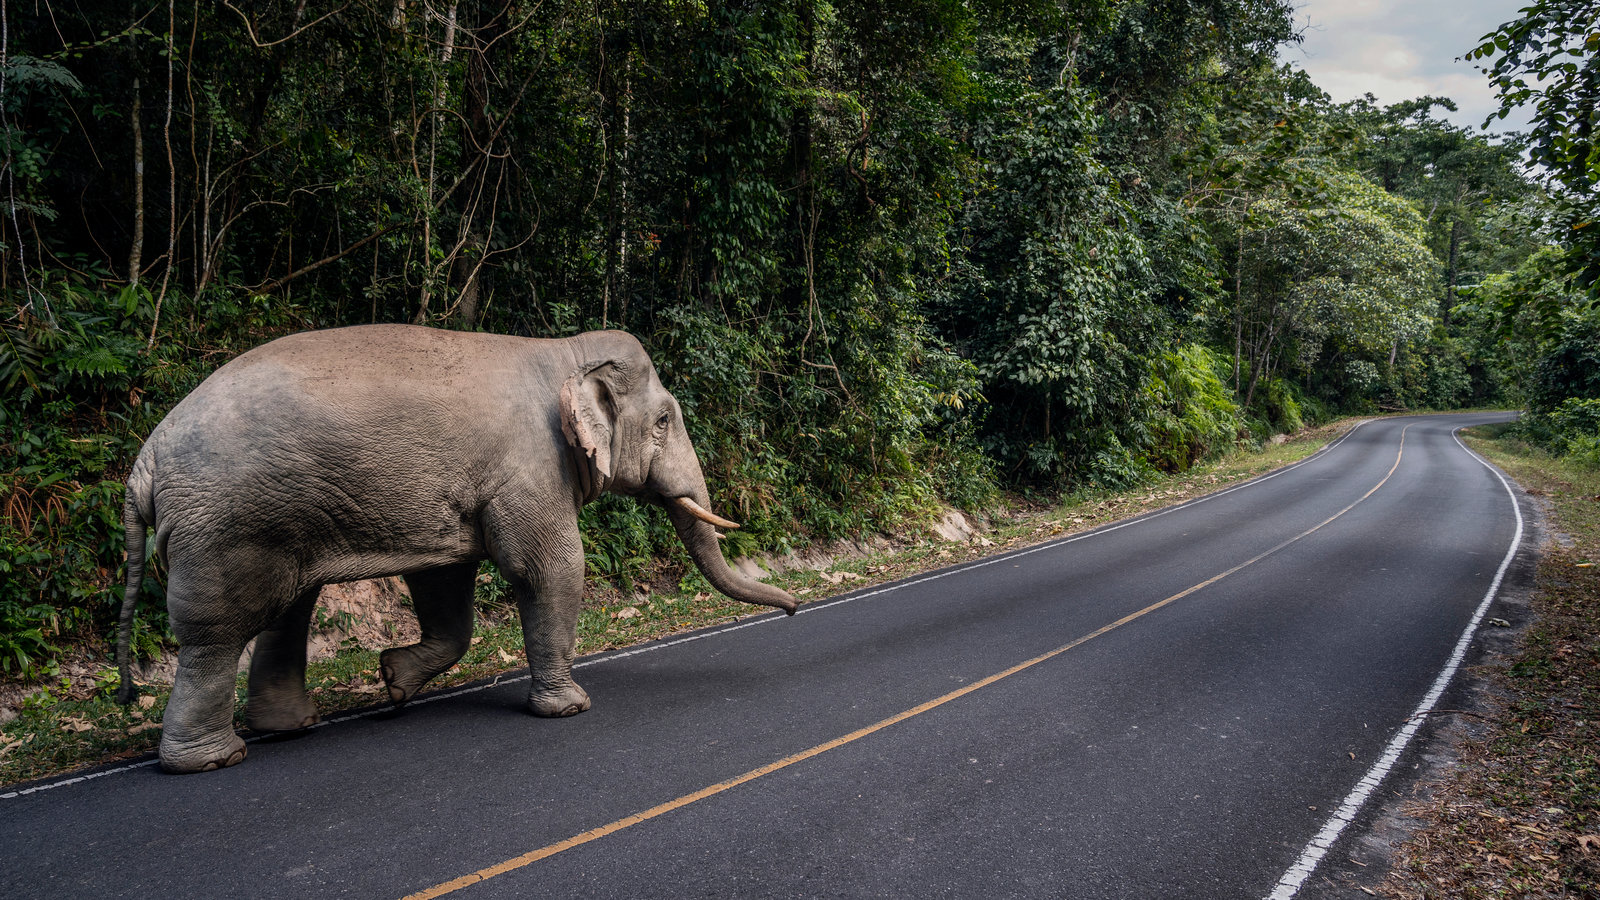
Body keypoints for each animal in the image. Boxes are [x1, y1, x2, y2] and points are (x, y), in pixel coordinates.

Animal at [115, 324, 796, 774]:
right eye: (663, 422)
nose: (793, 609)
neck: (563, 351)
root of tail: (145, 461)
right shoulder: (529, 466)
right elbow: (550, 567)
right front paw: (570, 709)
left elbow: (446, 581)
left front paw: (394, 683)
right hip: (227, 526)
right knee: (218, 631)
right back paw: (212, 760)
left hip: (275, 515)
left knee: (288, 608)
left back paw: (287, 728)